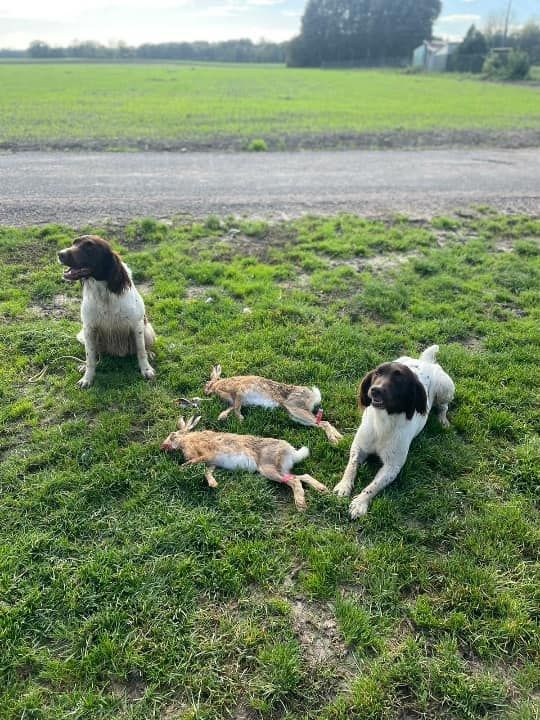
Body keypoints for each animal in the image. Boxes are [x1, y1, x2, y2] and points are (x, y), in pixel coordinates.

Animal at [59, 236, 156, 388]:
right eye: (74, 243)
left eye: (89, 247)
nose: (60, 254)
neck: (103, 293)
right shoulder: (89, 329)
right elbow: (90, 358)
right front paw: (87, 378)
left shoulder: (137, 326)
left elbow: (141, 351)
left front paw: (146, 369)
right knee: (97, 356)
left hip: (148, 330)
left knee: (144, 347)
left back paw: (150, 353)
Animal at [334, 348, 456, 520]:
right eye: (377, 373)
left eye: (399, 378)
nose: (375, 390)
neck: (383, 421)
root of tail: (425, 361)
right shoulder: (358, 447)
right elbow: (351, 467)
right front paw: (344, 486)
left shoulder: (393, 466)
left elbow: (373, 486)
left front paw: (360, 503)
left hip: (444, 389)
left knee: (444, 406)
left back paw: (442, 420)